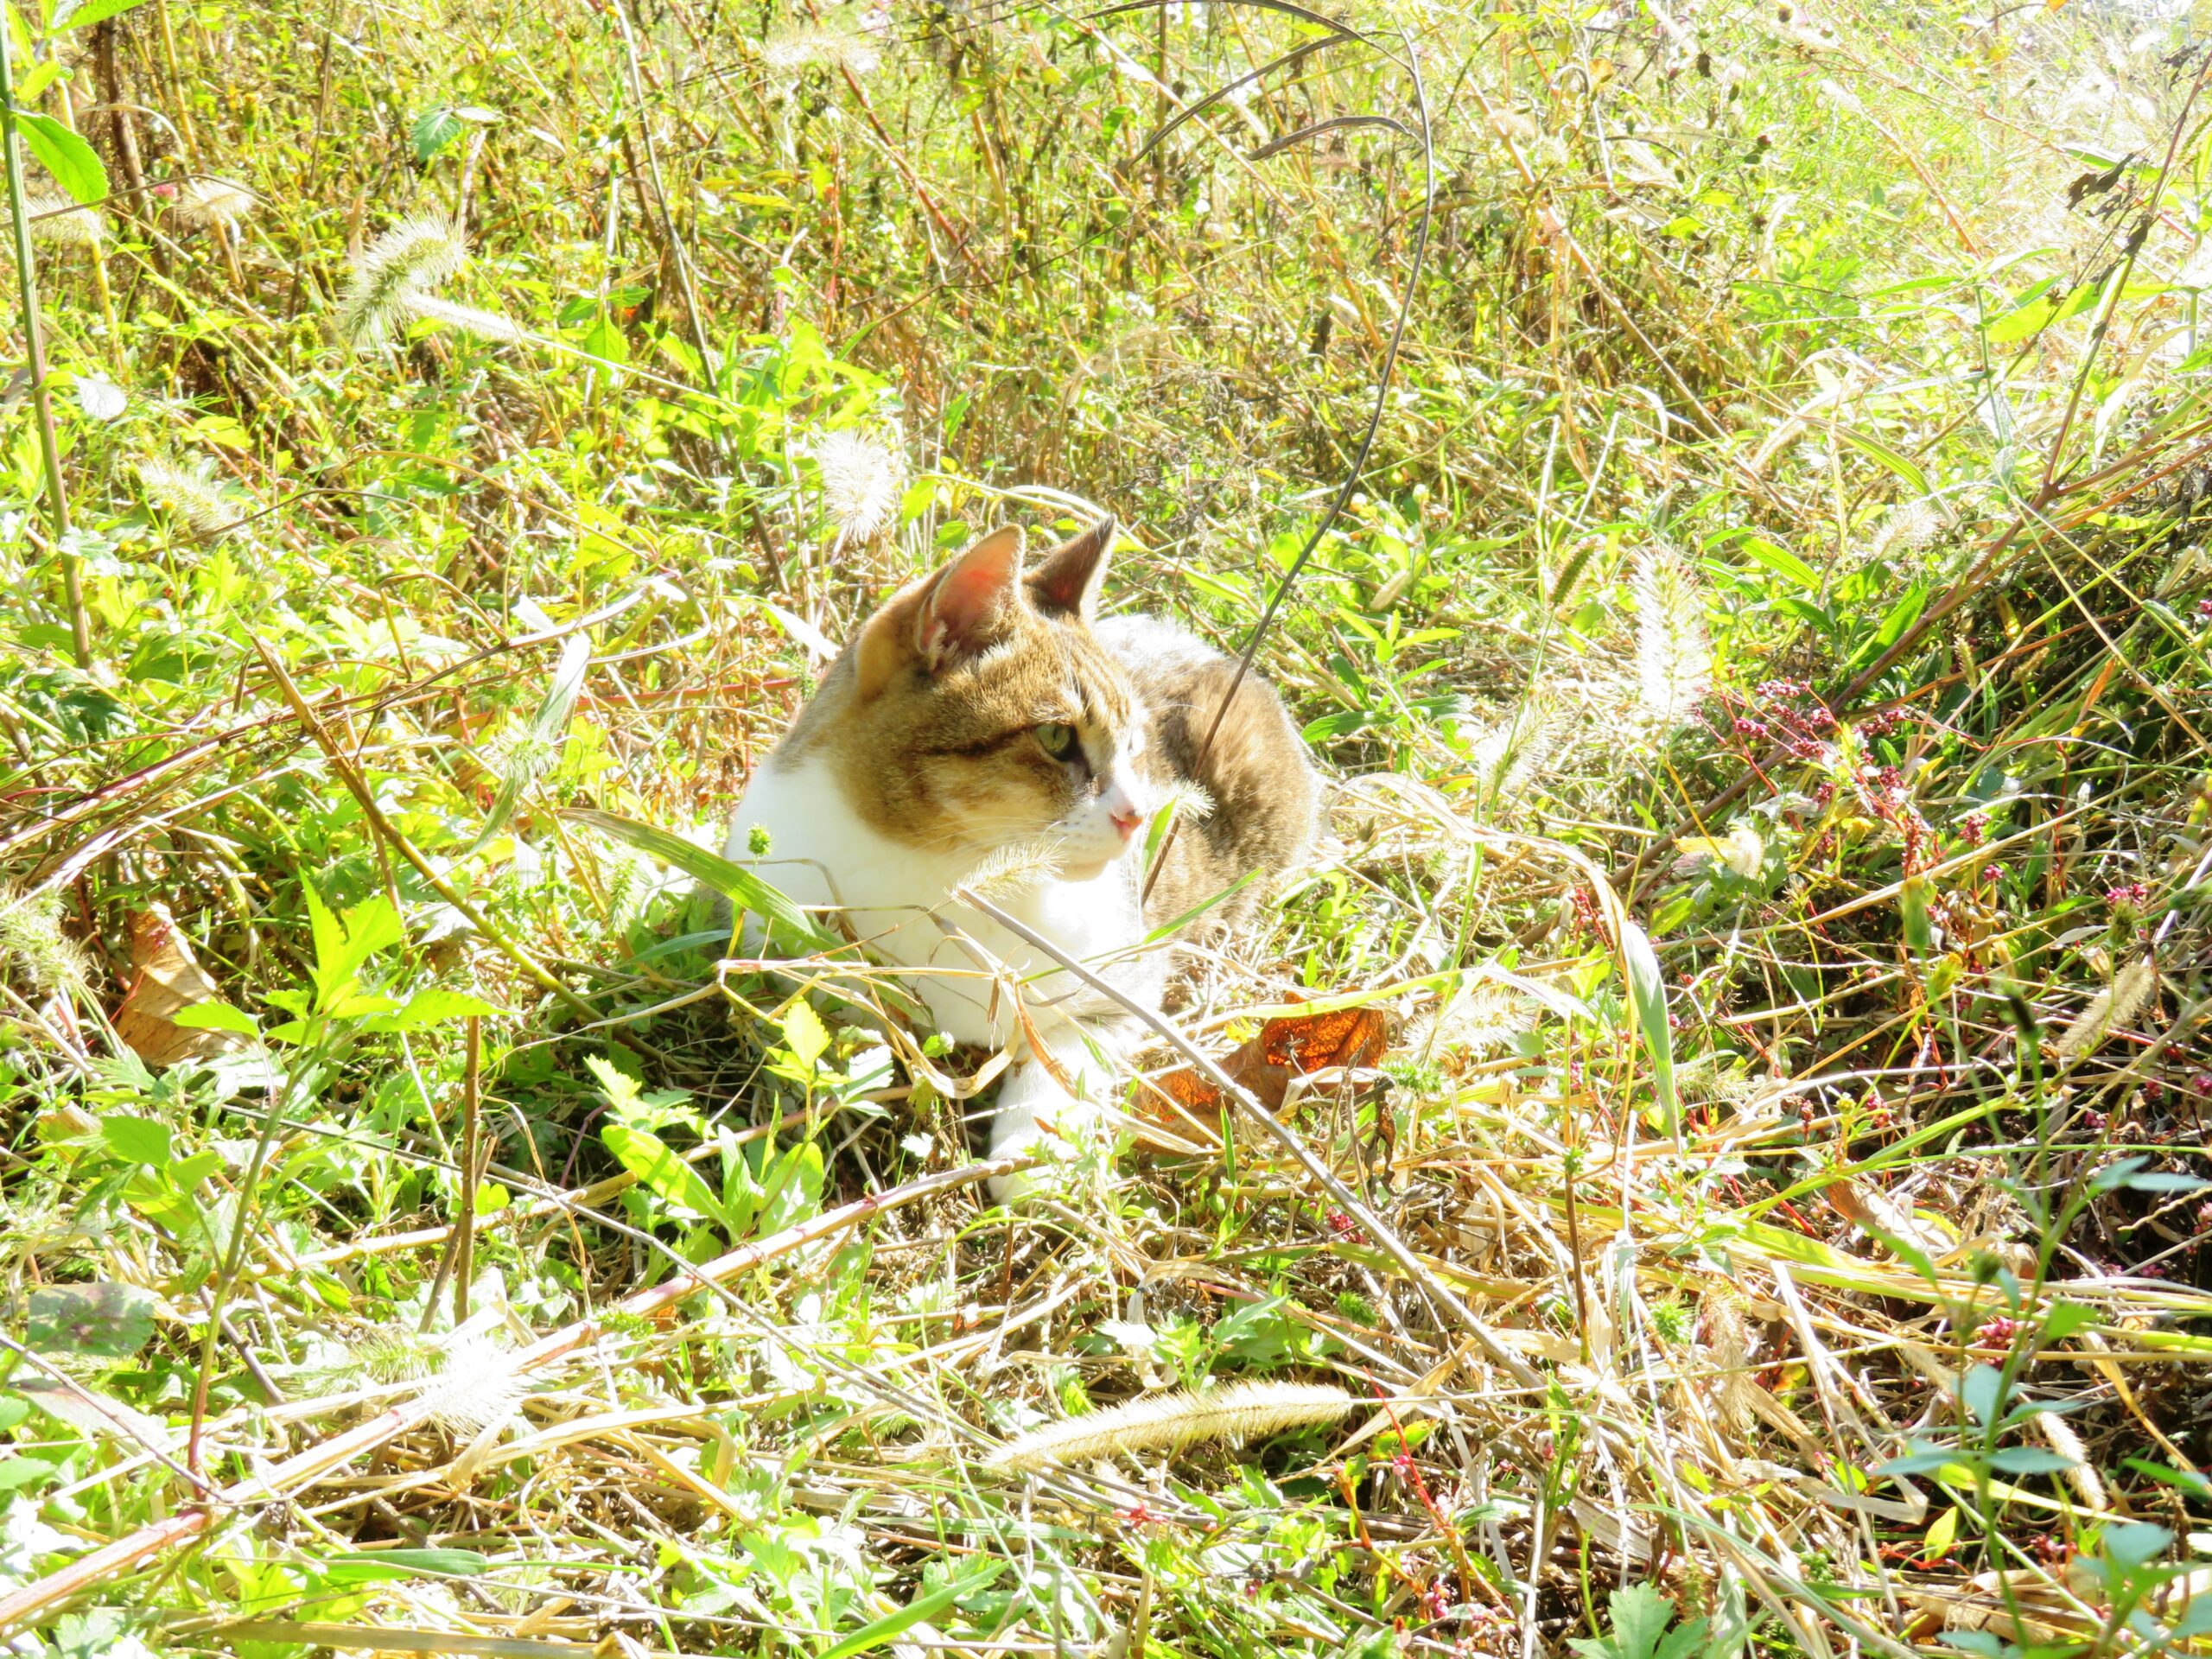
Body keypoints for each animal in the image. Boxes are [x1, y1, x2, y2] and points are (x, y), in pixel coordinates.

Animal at [725, 512, 1309, 1185]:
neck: (948, 866)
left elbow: (1068, 1051)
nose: (1138, 816)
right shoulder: (772, 928)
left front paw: (1034, 1145)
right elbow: (837, 1011)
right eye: (1056, 738)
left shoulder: (1125, 979)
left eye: (1134, 746)